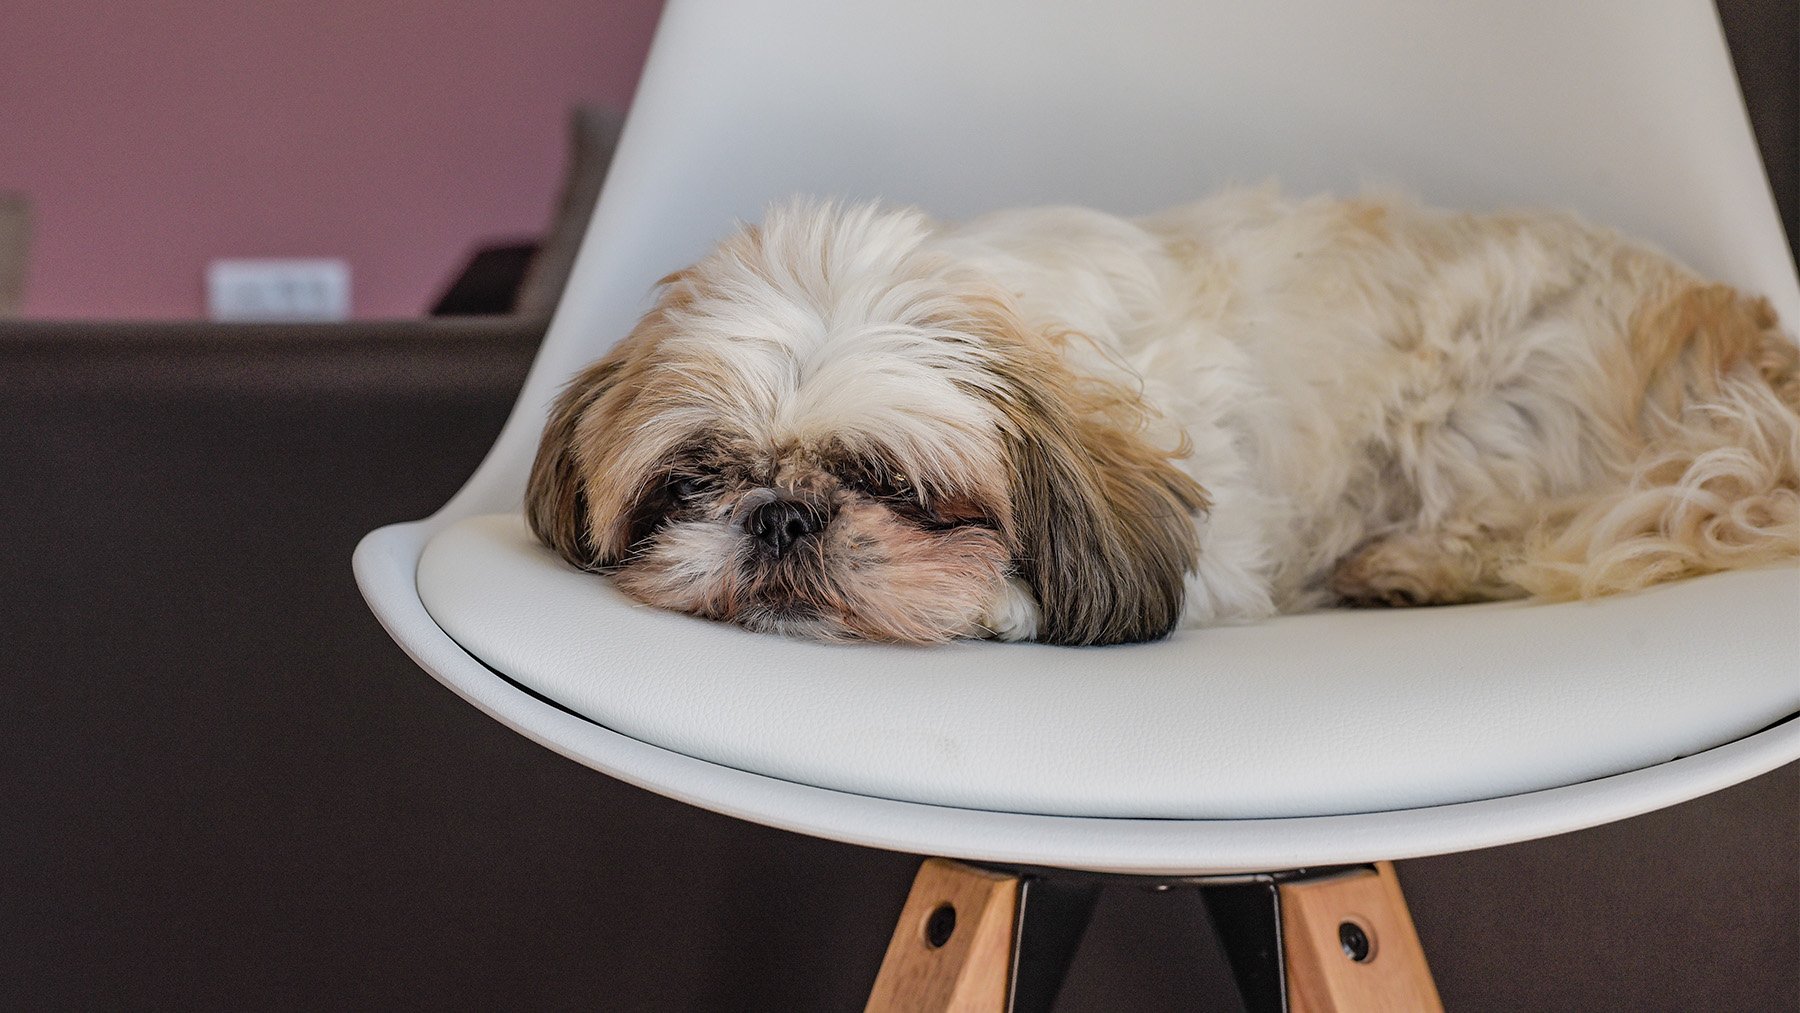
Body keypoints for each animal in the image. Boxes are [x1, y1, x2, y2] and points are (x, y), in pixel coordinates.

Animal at [522, 191, 1800, 647]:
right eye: (693, 479)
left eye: (898, 488)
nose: (782, 515)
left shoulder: (1220, 543)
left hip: (1491, 404)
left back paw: (1408, 566)